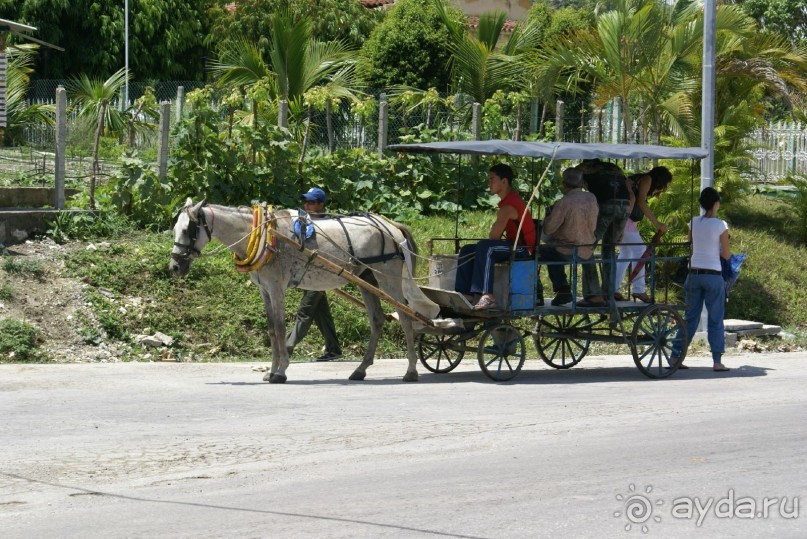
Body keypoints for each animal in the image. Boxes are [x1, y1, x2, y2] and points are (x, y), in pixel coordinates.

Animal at [167, 199, 426, 384]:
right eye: (175, 229)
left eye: (189, 229)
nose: (174, 267)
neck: (265, 235)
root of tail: (391, 225)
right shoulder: (265, 290)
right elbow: (272, 329)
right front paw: (271, 371)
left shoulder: (276, 287)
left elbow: (281, 328)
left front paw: (280, 371)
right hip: (366, 279)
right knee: (377, 320)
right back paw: (360, 369)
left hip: (387, 278)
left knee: (406, 317)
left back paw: (411, 370)